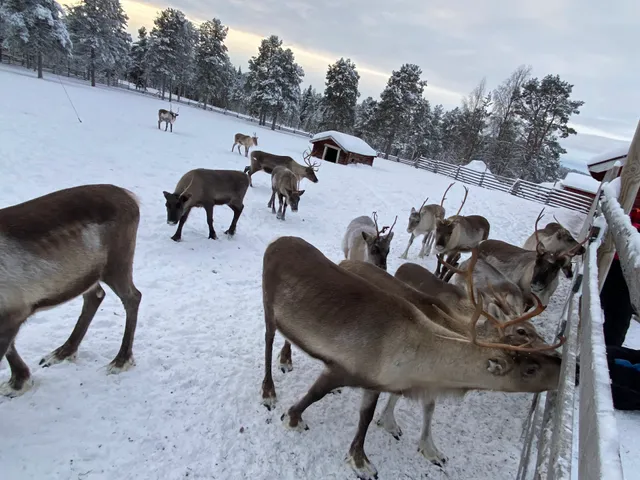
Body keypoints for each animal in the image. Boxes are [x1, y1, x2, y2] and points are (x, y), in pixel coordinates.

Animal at [0, 184, 142, 397]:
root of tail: (130, 196)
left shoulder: (12, 312)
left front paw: (18, 383)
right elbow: (11, 347)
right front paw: (20, 380)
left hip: (117, 262)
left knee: (132, 297)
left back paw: (121, 360)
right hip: (90, 273)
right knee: (96, 295)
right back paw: (64, 351)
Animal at [260, 236, 562, 480]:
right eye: (530, 368)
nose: (561, 362)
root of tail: (277, 241)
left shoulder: (376, 381)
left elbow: (366, 418)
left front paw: (360, 460)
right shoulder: (343, 368)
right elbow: (313, 395)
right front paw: (292, 418)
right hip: (269, 307)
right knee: (268, 341)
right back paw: (269, 389)